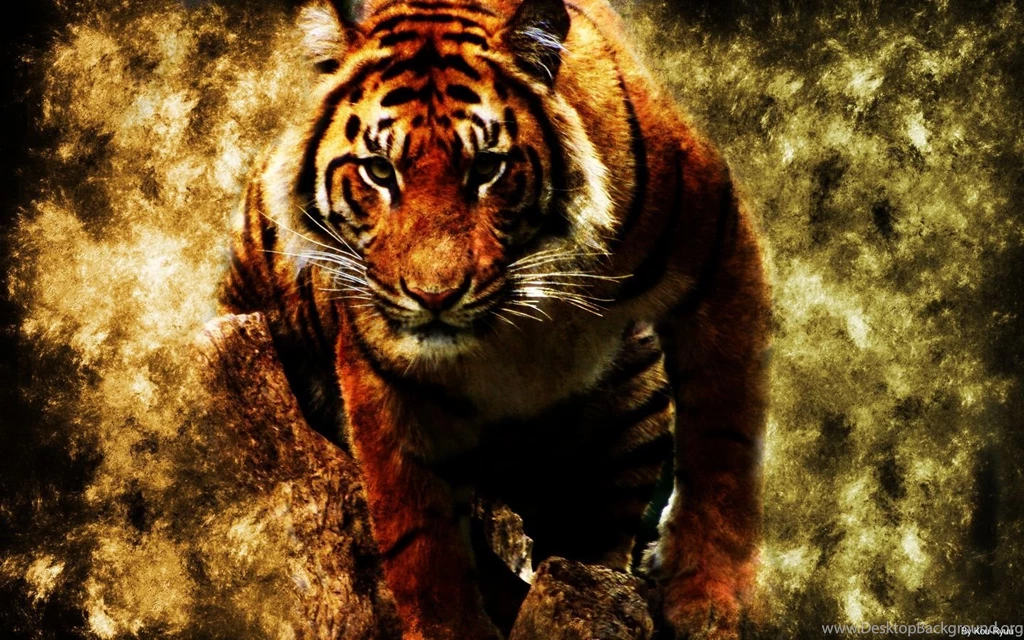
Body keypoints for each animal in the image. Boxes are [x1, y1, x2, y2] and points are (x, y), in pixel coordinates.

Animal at [220, 0, 770, 638]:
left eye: (486, 168)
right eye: (379, 171)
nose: (434, 296)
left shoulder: (718, 251)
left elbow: (723, 444)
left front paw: (705, 597)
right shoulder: (382, 365)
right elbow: (418, 531)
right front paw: (446, 627)